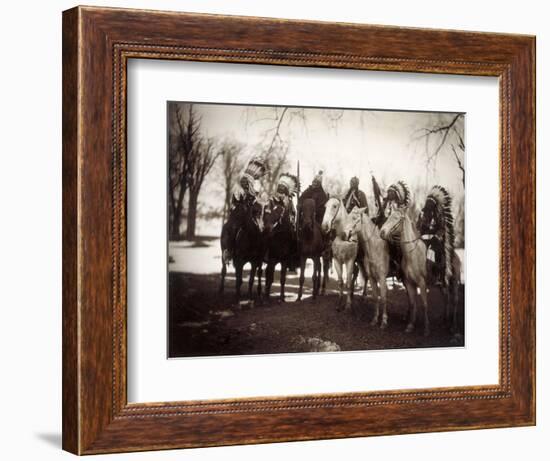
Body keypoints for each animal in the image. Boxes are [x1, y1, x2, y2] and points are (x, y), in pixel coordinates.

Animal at [384, 206, 432, 334]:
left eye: (396, 218)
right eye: (389, 216)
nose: (382, 232)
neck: (412, 254)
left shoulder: (422, 283)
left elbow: (424, 304)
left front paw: (426, 328)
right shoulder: (409, 282)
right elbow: (412, 302)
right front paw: (410, 325)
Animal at [420, 185, 464, 332]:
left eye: (430, 207)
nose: (422, 212)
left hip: (454, 281)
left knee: (454, 300)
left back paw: (453, 324)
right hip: (443, 284)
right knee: (447, 298)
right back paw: (446, 319)